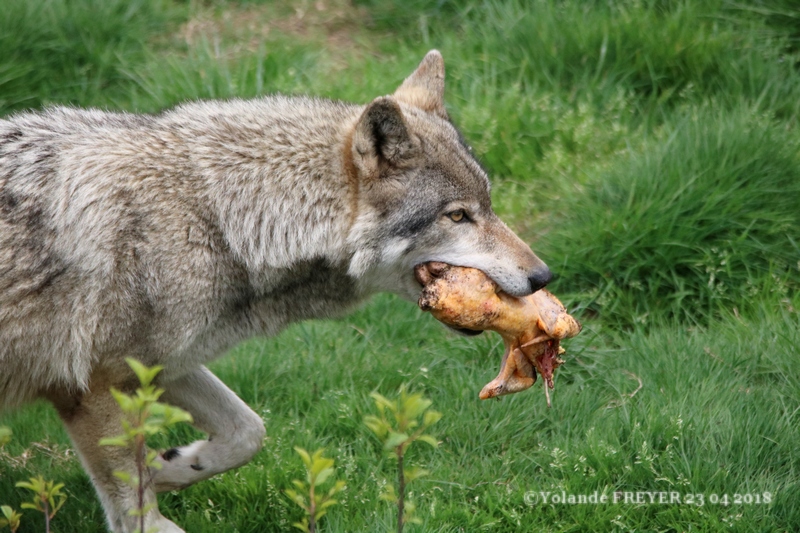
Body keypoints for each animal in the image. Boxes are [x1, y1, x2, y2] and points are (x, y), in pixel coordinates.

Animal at [0, 51, 552, 532]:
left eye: (488, 205)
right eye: (457, 216)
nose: (543, 277)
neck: (217, 220)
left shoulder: (165, 365)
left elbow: (248, 432)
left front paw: (167, 466)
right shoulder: (93, 385)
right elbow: (137, 510)